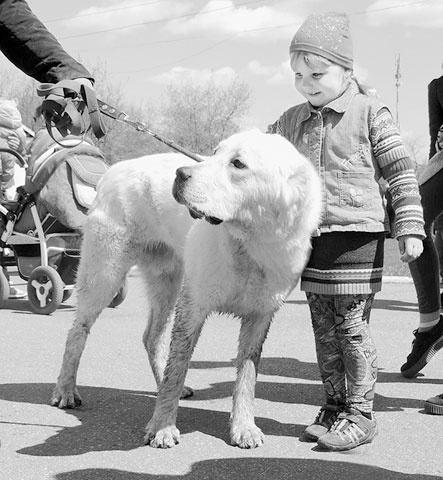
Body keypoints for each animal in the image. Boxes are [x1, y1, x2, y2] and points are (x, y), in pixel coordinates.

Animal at [51, 128, 322, 450]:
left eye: (238, 164)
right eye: (215, 152)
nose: (180, 174)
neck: (249, 245)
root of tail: (112, 170)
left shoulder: (260, 316)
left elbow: (247, 375)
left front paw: (244, 427)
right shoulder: (193, 306)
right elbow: (177, 368)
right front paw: (163, 427)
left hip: (166, 280)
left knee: (152, 337)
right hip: (105, 272)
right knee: (77, 332)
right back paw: (66, 390)